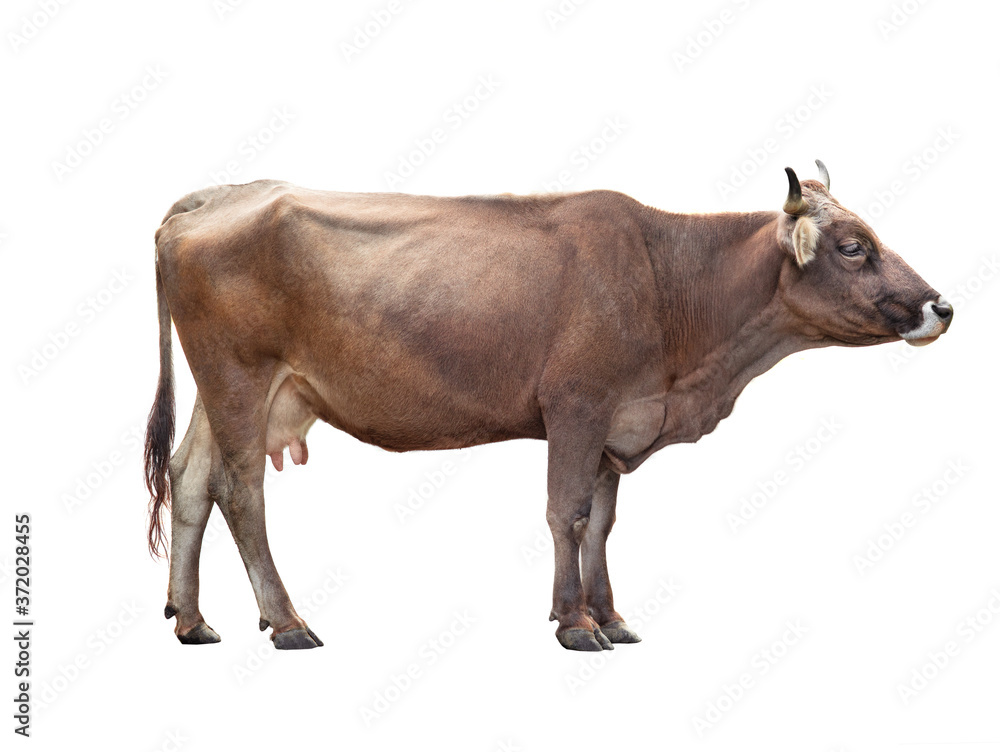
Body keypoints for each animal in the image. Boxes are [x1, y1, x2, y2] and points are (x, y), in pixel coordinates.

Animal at [144, 162, 952, 651]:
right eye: (852, 246)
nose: (939, 305)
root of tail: (217, 194)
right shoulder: (577, 408)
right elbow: (567, 512)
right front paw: (573, 622)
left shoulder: (620, 418)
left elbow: (602, 520)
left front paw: (610, 614)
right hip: (241, 378)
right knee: (241, 490)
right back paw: (285, 621)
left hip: (230, 392)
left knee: (190, 478)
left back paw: (192, 619)